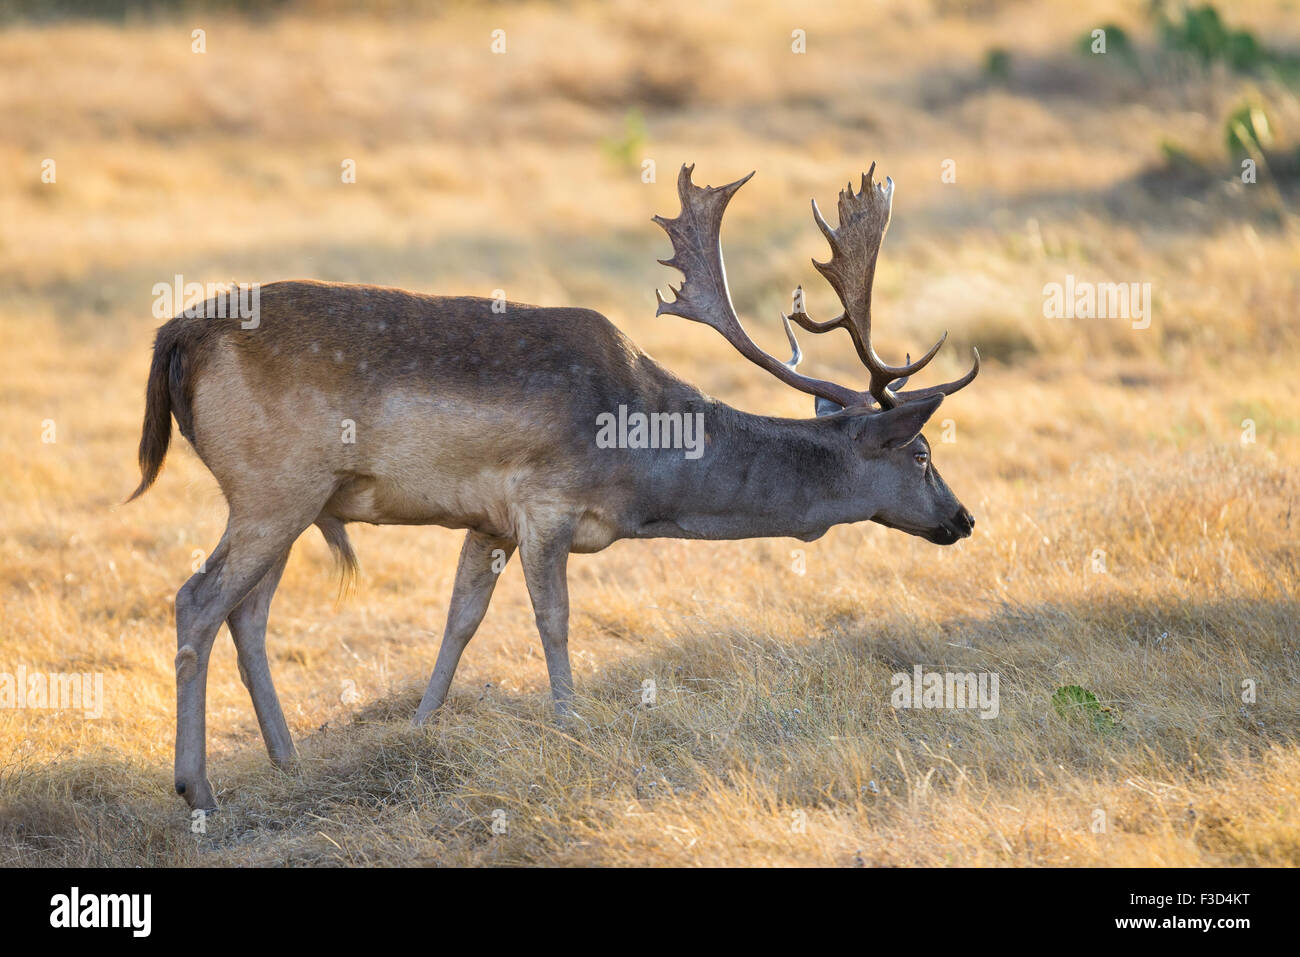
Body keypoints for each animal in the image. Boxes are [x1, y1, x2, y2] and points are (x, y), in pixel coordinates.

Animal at [129, 162, 977, 806]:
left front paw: (420, 727)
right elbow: (554, 620)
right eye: (922, 453)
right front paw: (570, 724)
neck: (641, 466)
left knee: (247, 614)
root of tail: (176, 334)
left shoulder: (486, 520)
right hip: (273, 486)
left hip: (294, 500)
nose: (963, 519)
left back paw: (286, 759)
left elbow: (460, 621)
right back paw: (197, 788)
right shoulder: (546, 504)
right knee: (197, 598)